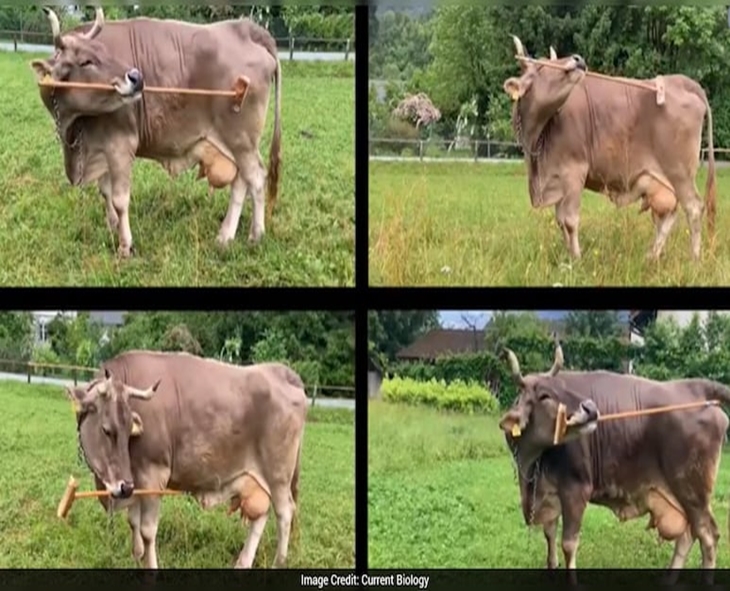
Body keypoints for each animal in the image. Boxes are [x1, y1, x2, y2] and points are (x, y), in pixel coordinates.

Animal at [30, 7, 281, 258]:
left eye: (104, 50)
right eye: (85, 61)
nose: (136, 77)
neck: (74, 129)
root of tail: (246, 28)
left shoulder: (120, 144)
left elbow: (120, 199)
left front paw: (125, 246)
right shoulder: (101, 147)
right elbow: (105, 192)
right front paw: (112, 227)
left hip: (241, 140)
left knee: (256, 178)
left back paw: (256, 235)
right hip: (236, 145)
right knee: (241, 182)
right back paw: (225, 236)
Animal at [64, 351, 307, 568]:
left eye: (127, 429)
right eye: (107, 430)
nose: (123, 486)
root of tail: (281, 371)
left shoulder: (153, 475)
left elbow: (147, 531)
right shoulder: (135, 480)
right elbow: (133, 522)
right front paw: (137, 557)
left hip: (278, 476)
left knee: (285, 513)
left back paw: (278, 563)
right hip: (259, 479)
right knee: (262, 515)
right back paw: (243, 562)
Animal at [498, 342, 730, 578]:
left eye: (562, 388)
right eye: (544, 395)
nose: (590, 408)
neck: (532, 464)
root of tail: (694, 386)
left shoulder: (576, 489)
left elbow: (568, 544)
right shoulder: (548, 493)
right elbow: (549, 534)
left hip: (693, 491)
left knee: (708, 536)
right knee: (688, 534)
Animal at [502, 36, 716, 262]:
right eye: (542, 67)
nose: (577, 58)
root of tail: (683, 81)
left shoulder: (574, 171)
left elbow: (569, 220)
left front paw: (576, 259)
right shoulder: (558, 178)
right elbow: (560, 221)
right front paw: (567, 256)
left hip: (680, 173)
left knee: (694, 208)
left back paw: (694, 259)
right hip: (665, 181)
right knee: (670, 214)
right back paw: (651, 255)